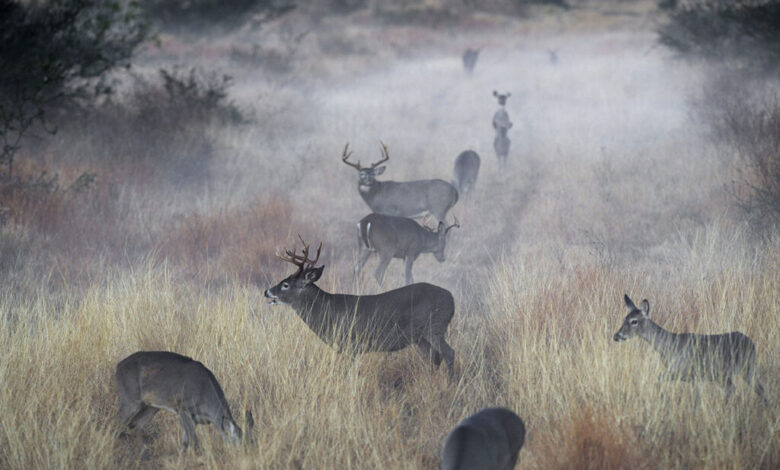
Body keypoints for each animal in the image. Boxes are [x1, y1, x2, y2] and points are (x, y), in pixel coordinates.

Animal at [115, 350, 253, 450]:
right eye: (237, 445)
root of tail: (118, 366)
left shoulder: (196, 420)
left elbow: (185, 444)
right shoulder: (183, 408)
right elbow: (194, 441)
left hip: (151, 407)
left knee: (135, 424)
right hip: (130, 399)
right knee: (115, 421)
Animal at [264, 235, 454, 378]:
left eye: (285, 284)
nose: (267, 291)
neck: (327, 311)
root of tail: (452, 300)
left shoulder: (351, 342)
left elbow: (348, 372)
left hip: (434, 326)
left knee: (449, 354)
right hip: (420, 337)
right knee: (435, 358)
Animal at [616, 296, 768, 402]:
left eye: (634, 321)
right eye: (624, 319)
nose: (616, 336)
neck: (669, 346)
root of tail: (752, 343)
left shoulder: (692, 374)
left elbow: (695, 399)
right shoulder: (679, 374)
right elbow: (659, 379)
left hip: (736, 370)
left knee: (737, 389)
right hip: (741, 372)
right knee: (757, 389)